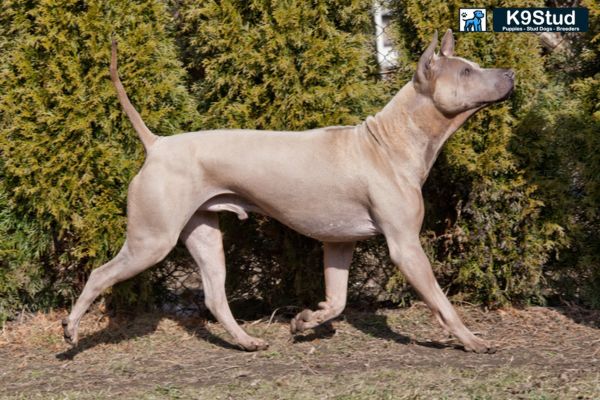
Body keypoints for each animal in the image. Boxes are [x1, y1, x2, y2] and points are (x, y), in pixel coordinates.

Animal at [63, 28, 512, 354]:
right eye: (466, 72)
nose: (509, 73)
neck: (388, 141)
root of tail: (156, 143)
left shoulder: (339, 242)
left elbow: (338, 300)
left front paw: (306, 320)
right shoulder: (406, 246)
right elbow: (441, 301)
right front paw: (472, 340)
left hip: (204, 236)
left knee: (215, 297)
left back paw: (246, 341)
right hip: (151, 240)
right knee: (100, 274)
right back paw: (70, 331)